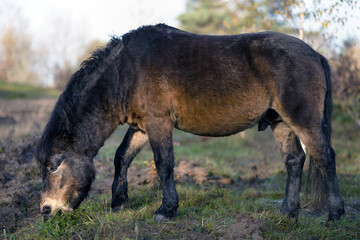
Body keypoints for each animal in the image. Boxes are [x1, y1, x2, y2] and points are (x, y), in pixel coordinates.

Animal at [35, 23, 344, 221]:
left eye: (53, 166)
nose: (47, 210)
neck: (125, 72)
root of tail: (315, 54)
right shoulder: (141, 126)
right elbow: (122, 157)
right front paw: (118, 202)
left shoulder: (158, 123)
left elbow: (164, 164)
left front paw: (166, 210)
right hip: (281, 123)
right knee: (294, 162)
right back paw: (288, 212)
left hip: (303, 120)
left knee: (325, 157)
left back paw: (335, 214)